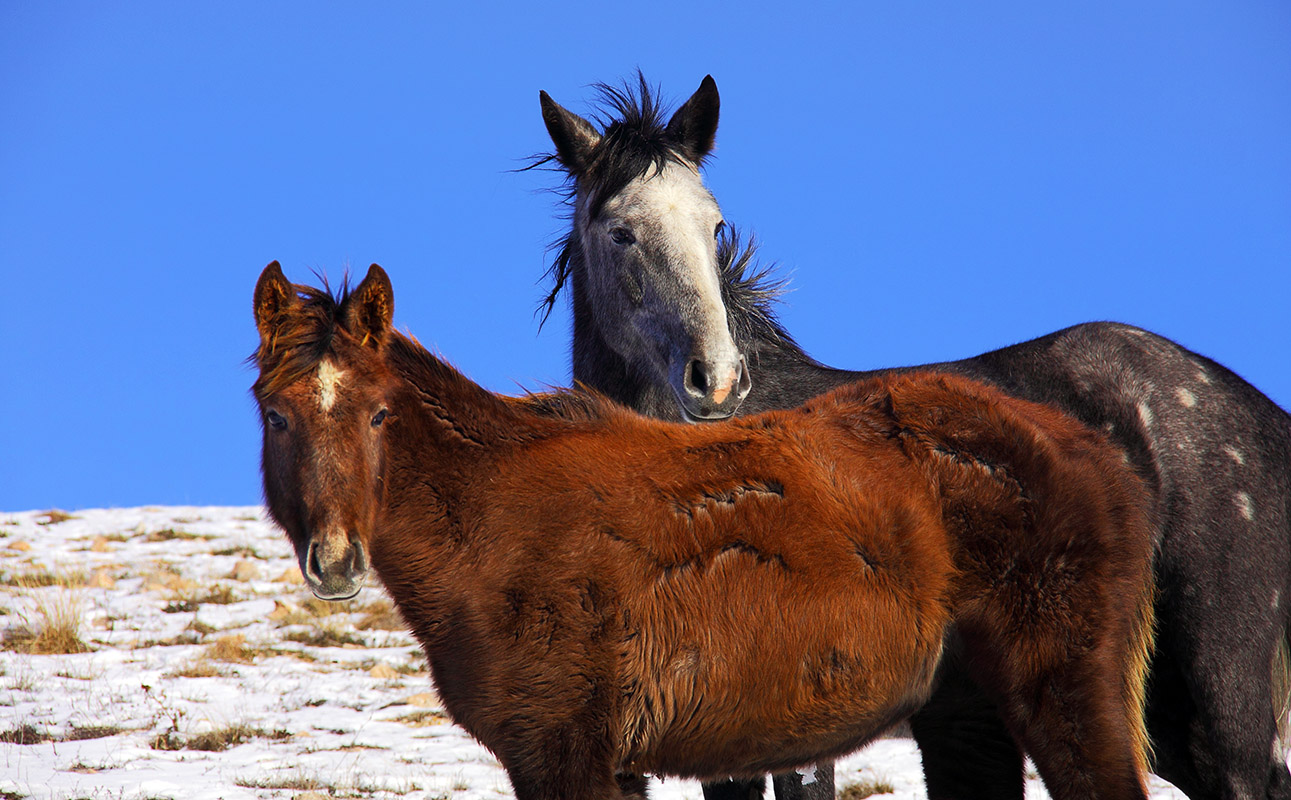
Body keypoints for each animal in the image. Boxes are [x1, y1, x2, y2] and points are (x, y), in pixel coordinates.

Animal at [251, 261, 1161, 800]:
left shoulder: (565, 754)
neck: (492, 522)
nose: (336, 561)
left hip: (1066, 694)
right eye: (276, 415)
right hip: (965, 719)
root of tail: (1094, 448)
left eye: (379, 414)